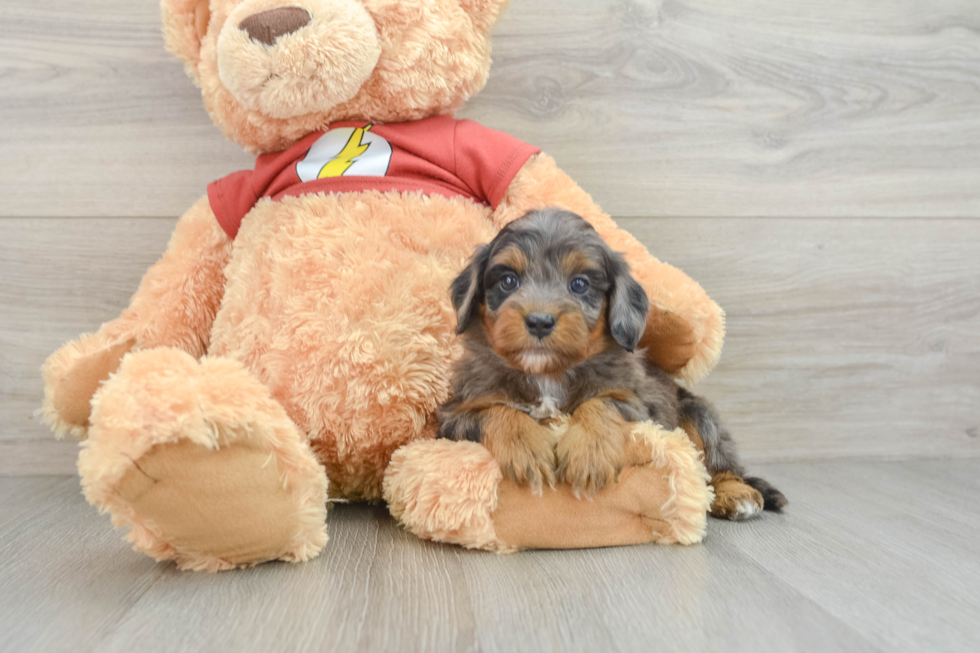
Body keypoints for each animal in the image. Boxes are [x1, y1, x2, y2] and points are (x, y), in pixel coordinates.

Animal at [440, 209, 784, 520]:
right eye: (508, 280)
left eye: (579, 284)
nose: (539, 322)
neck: (548, 373)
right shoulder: (455, 414)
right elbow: (497, 410)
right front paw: (526, 448)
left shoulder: (637, 402)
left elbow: (601, 403)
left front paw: (589, 454)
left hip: (700, 416)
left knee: (718, 464)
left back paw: (736, 494)